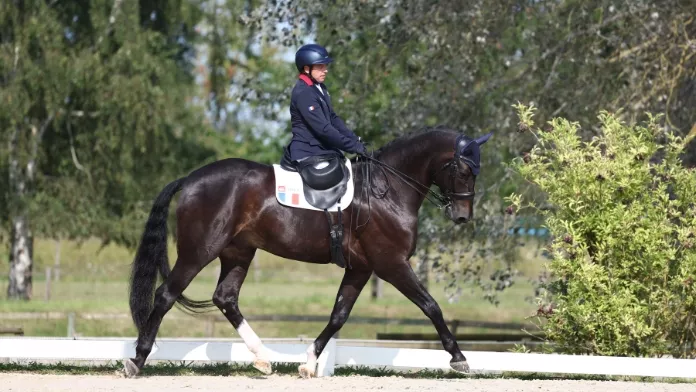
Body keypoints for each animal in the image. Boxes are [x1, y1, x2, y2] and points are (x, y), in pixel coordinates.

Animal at [122, 127, 492, 378]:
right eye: (463, 170)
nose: (462, 216)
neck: (387, 191)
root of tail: (190, 179)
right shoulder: (391, 264)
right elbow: (431, 306)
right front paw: (459, 359)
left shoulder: (361, 268)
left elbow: (338, 315)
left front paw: (309, 362)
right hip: (199, 251)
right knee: (166, 295)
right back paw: (137, 360)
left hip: (238, 252)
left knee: (225, 298)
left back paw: (262, 358)